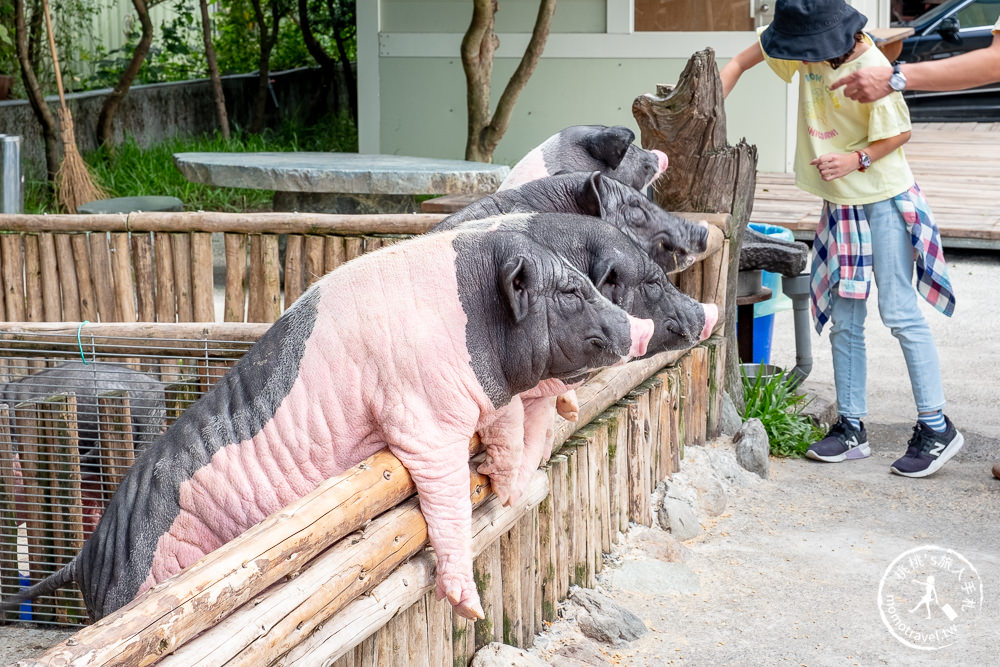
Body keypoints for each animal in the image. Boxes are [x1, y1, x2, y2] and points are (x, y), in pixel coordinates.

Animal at [3, 228, 656, 620]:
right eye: (570, 291)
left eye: (589, 282)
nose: (641, 329)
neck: (474, 323)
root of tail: (88, 555)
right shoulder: (419, 418)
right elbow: (446, 503)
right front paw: (469, 609)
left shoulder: (486, 395)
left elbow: (504, 428)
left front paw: (511, 490)